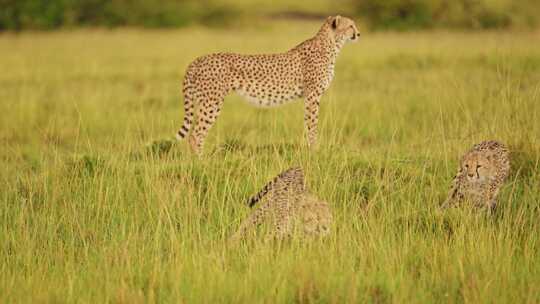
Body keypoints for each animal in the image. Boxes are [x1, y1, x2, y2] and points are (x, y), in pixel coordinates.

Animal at [177, 15, 360, 156]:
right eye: (350, 26)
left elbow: (310, 124)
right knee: (196, 134)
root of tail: (197, 59)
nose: (358, 33)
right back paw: (201, 162)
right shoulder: (312, 96)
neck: (331, 44)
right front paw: (314, 151)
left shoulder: (310, 96)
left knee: (195, 133)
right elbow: (312, 124)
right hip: (211, 102)